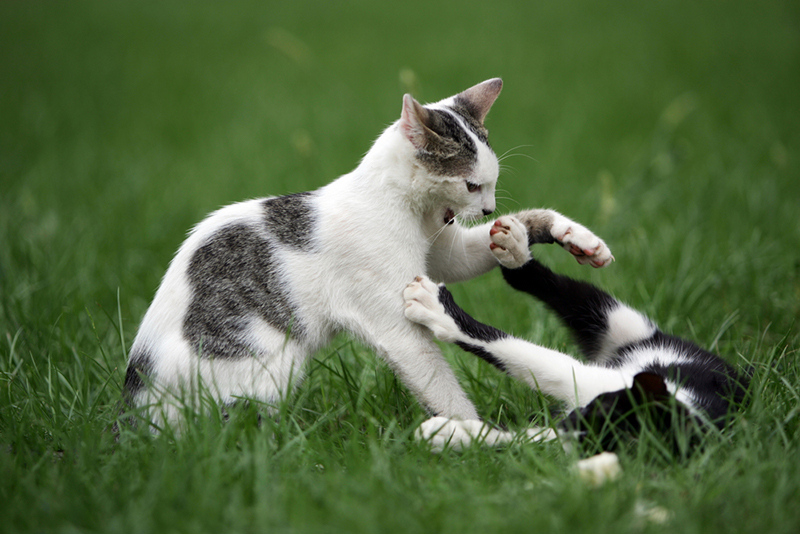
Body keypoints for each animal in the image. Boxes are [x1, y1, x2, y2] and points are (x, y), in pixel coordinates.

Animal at [119, 80, 612, 432]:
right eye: (473, 185)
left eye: (491, 186)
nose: (488, 209)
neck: (407, 209)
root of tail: (133, 406)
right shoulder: (395, 324)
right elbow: (439, 383)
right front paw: (470, 432)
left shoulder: (445, 251)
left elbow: (490, 244)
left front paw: (570, 235)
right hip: (264, 369)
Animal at [406, 214, 752, 452]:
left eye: (594, 416)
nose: (568, 420)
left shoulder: (583, 392)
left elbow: (524, 360)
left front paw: (449, 434)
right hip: (618, 318)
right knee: (546, 285)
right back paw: (515, 249)